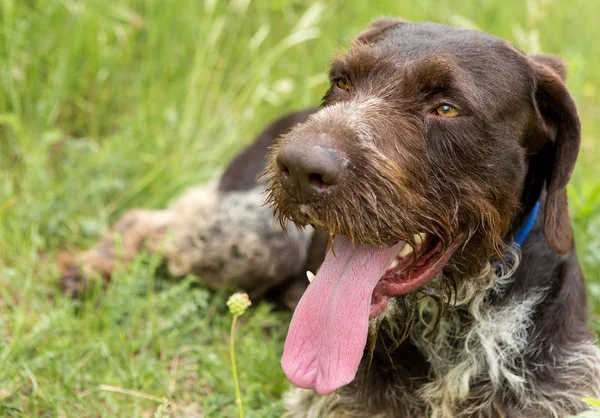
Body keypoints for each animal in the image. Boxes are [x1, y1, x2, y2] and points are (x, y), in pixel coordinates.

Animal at [62, 18, 600, 418]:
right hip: (252, 239)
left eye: (446, 108)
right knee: (151, 222)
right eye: (342, 82)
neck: (454, 318)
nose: (298, 166)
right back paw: (90, 267)